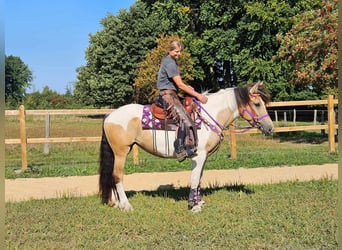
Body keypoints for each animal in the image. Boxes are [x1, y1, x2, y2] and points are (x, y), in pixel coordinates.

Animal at [97, 81, 274, 212]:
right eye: (257, 104)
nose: (270, 128)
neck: (209, 115)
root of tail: (109, 116)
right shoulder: (199, 155)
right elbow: (194, 178)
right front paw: (194, 206)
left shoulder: (203, 157)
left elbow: (199, 177)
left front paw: (198, 201)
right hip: (121, 152)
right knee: (117, 176)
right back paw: (126, 205)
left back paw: (116, 203)